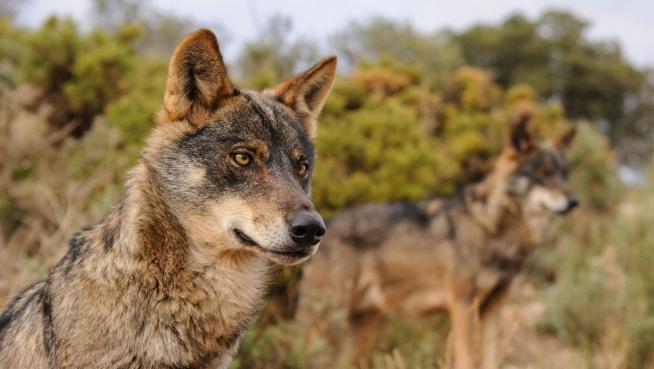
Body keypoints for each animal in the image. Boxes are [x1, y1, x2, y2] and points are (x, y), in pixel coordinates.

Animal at [298, 113, 580, 368]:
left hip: (360, 330)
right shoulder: (463, 305)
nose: (574, 201)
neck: (491, 227)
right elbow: (467, 359)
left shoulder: (493, 310)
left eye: (564, 174)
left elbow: (491, 359)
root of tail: (326, 224)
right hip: (325, 322)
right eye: (543, 174)